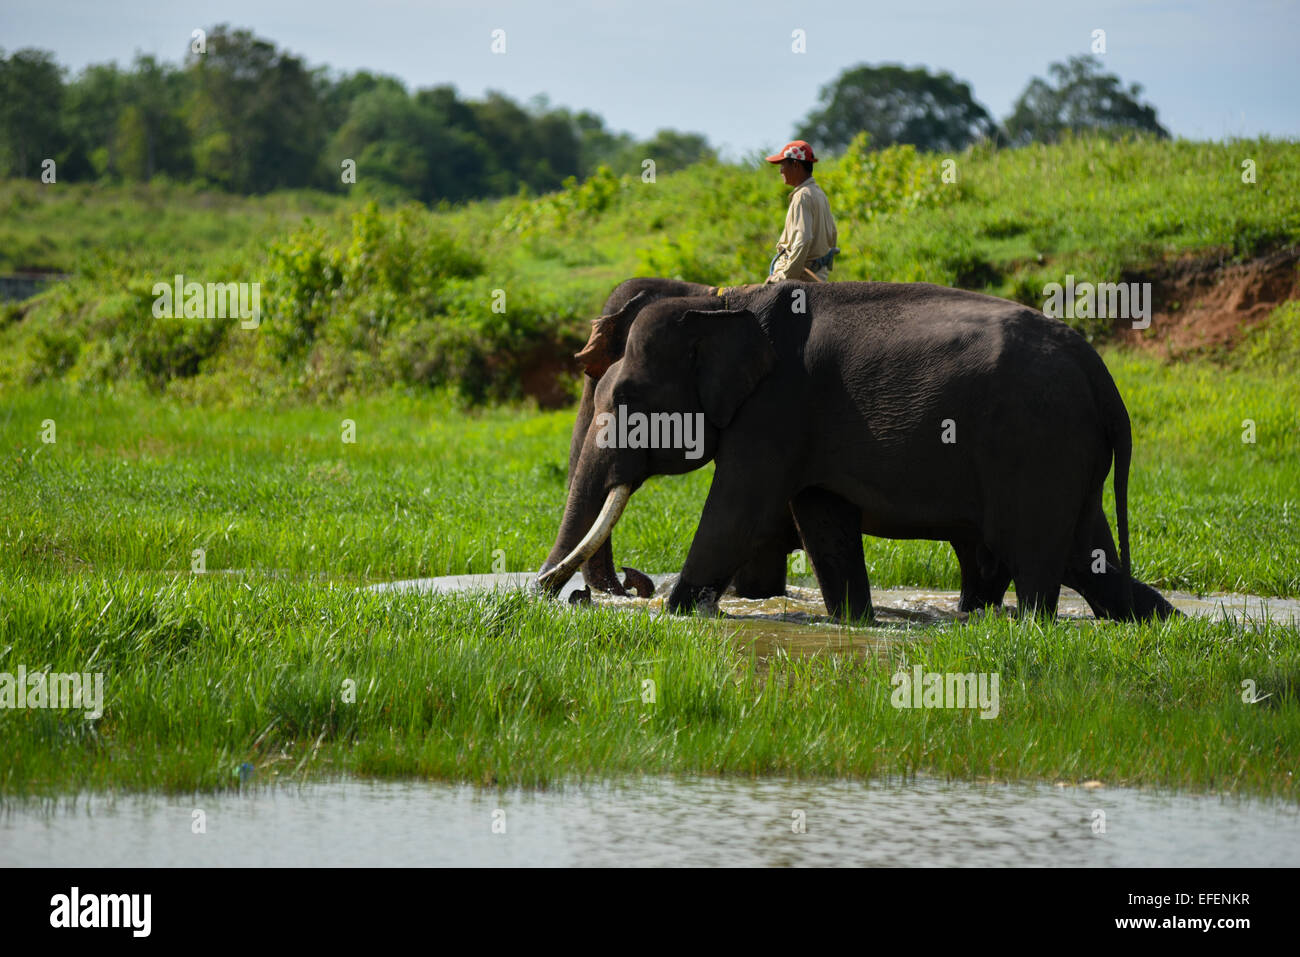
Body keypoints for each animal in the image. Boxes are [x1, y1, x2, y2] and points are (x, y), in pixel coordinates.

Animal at [538, 278, 1180, 621]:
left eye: (626, 397)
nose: (572, 598)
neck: (724, 300)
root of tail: (1103, 379)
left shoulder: (776, 411)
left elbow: (736, 510)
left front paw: (677, 612)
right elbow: (823, 517)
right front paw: (853, 620)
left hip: (1039, 446)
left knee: (1038, 555)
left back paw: (1030, 624)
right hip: (1070, 457)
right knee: (1087, 558)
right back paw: (1155, 622)